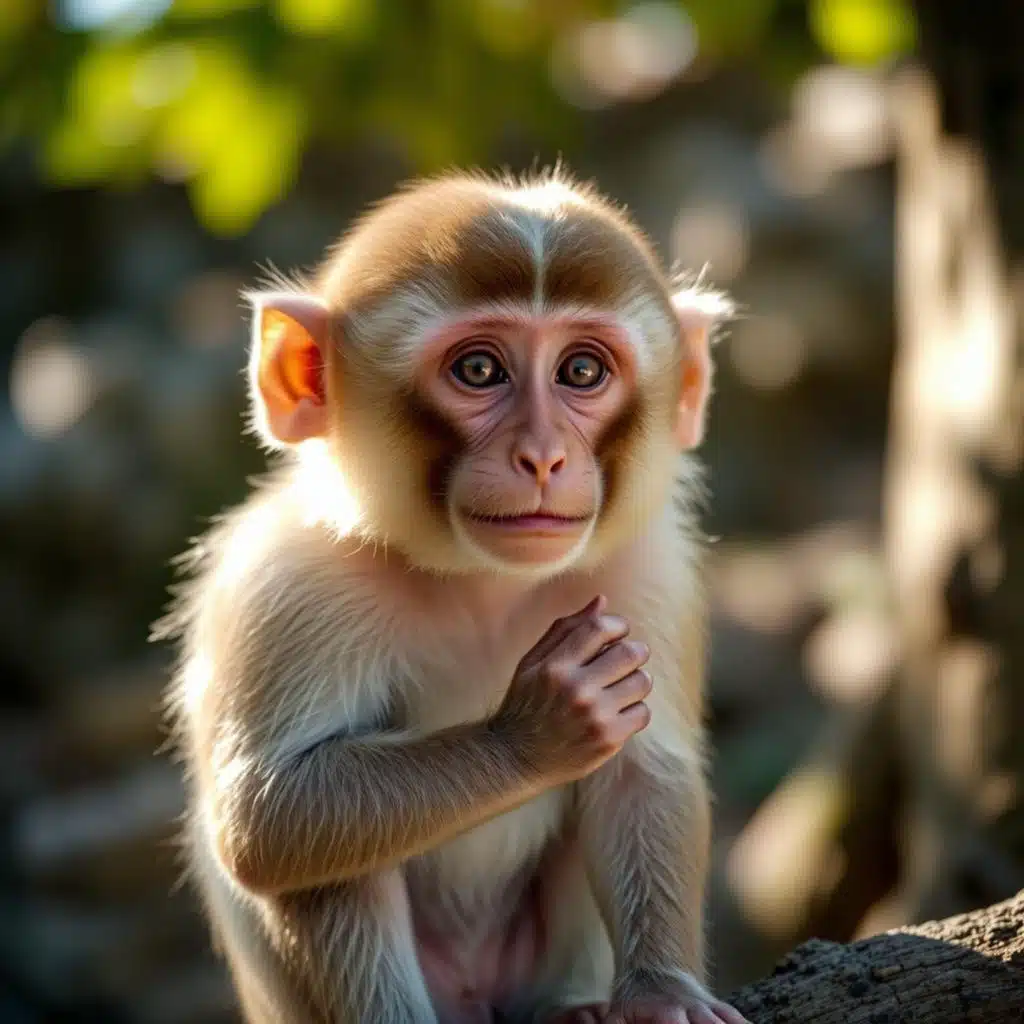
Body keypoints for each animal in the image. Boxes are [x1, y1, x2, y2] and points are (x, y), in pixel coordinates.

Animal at [154, 169, 748, 1024]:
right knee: (322, 864)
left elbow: (644, 773)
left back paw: (568, 1008)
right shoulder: (288, 587)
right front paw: (533, 730)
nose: (543, 456)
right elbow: (263, 819)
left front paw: (661, 993)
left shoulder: (648, 574)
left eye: (582, 372)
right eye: (478, 371)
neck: (481, 581)